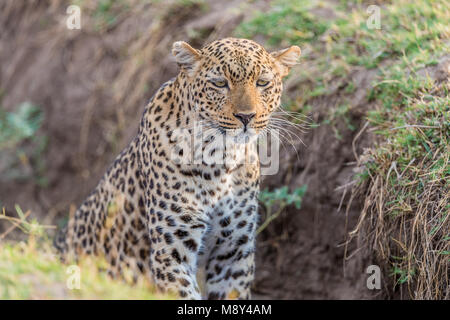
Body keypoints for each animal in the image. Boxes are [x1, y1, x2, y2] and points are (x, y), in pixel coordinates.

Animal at [54, 37, 300, 300]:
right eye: (220, 83)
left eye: (262, 82)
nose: (246, 116)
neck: (221, 159)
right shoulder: (171, 251)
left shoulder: (233, 252)